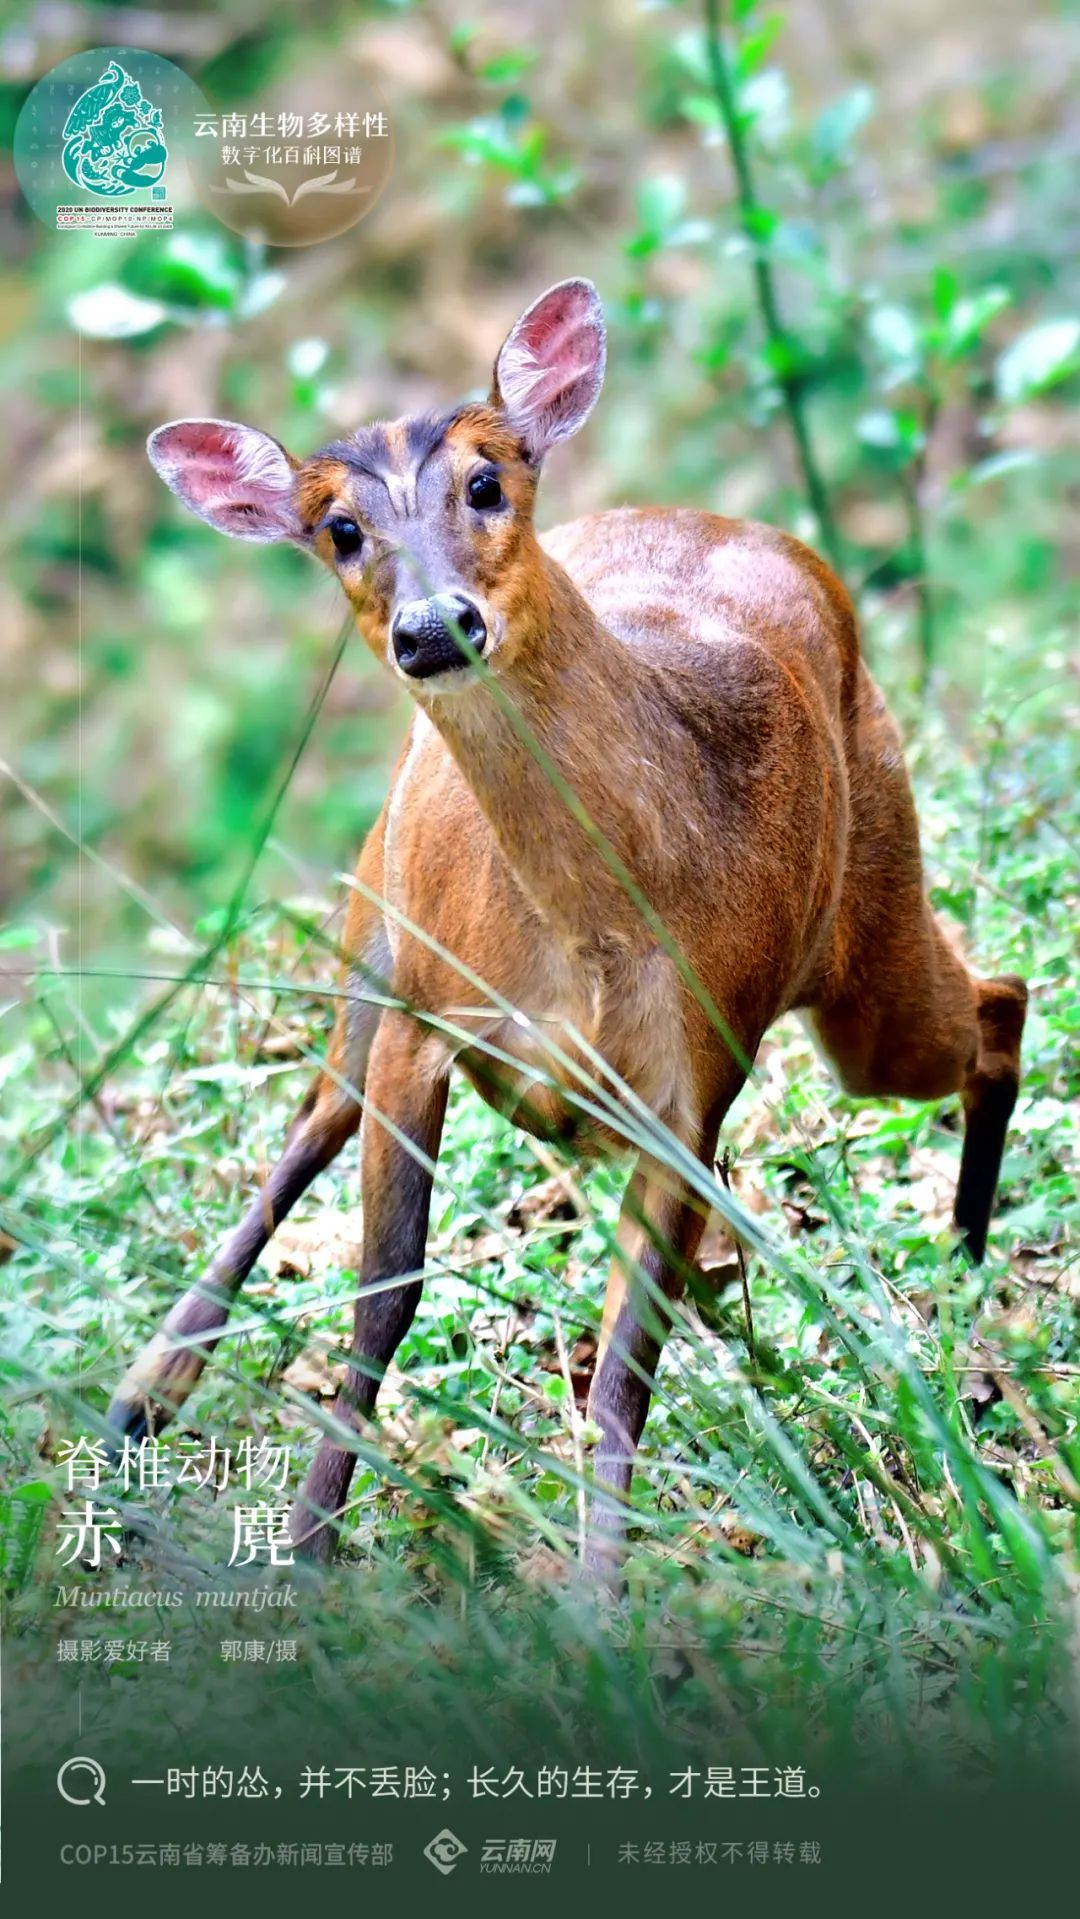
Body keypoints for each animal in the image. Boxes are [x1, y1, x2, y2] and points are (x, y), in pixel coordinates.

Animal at [112, 284, 1028, 1573]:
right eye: (337, 528)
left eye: (487, 481)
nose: (434, 626)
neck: (588, 936)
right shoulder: (431, 1020)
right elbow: (384, 1296)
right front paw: (309, 1547)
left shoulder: (693, 1077)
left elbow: (622, 1370)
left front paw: (598, 1593)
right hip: (376, 928)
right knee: (306, 1124)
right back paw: (140, 1399)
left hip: (872, 931)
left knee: (1000, 1001)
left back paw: (962, 1288)